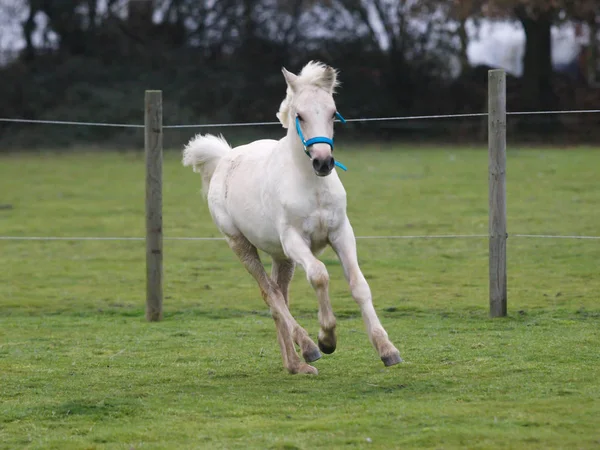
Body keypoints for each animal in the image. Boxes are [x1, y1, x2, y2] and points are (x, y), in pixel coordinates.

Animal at [180, 60, 400, 376]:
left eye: (333, 113)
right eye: (300, 115)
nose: (323, 162)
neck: (312, 185)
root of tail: (224, 158)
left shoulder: (341, 233)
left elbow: (359, 285)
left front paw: (387, 349)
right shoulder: (295, 240)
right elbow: (319, 275)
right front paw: (327, 338)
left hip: (280, 256)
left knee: (278, 295)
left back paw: (295, 364)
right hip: (242, 245)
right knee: (271, 295)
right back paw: (308, 348)